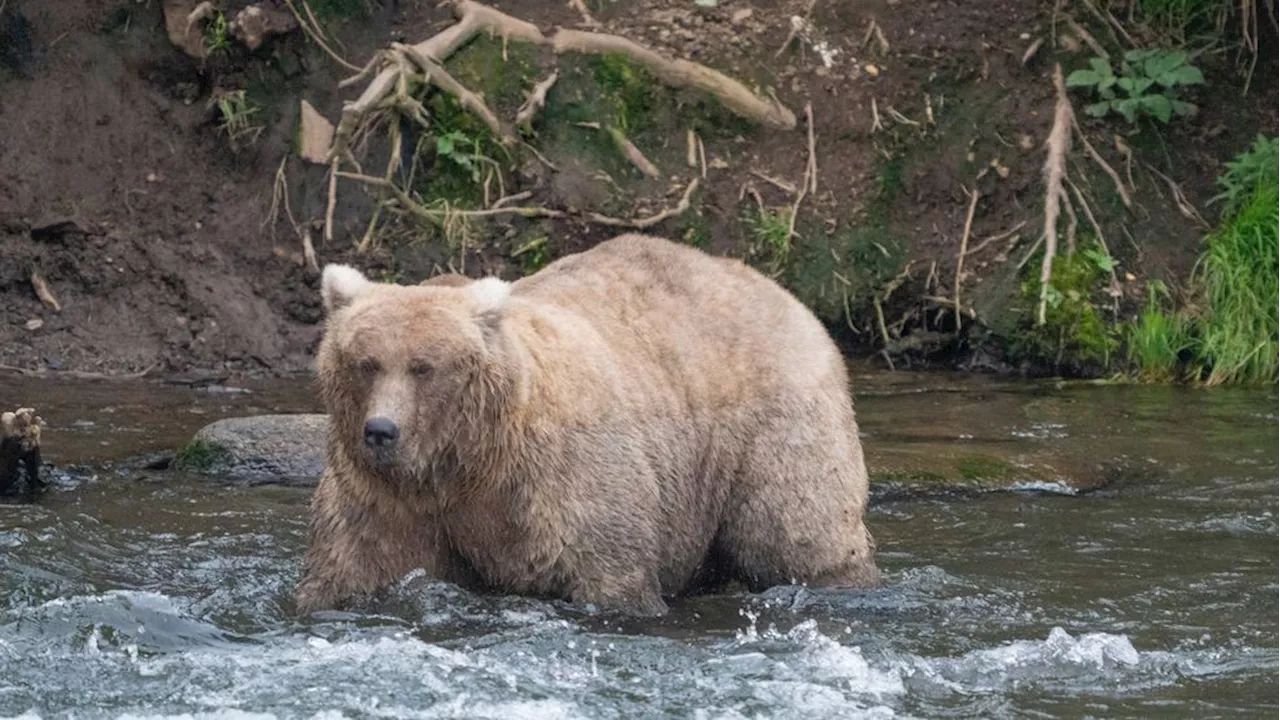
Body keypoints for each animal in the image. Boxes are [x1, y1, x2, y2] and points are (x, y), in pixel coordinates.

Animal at [296, 233, 880, 614]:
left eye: (424, 367)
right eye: (365, 362)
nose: (381, 431)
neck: (467, 461)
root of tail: (782, 293)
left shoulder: (561, 479)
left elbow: (609, 570)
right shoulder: (387, 497)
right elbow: (355, 565)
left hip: (771, 424)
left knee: (797, 530)